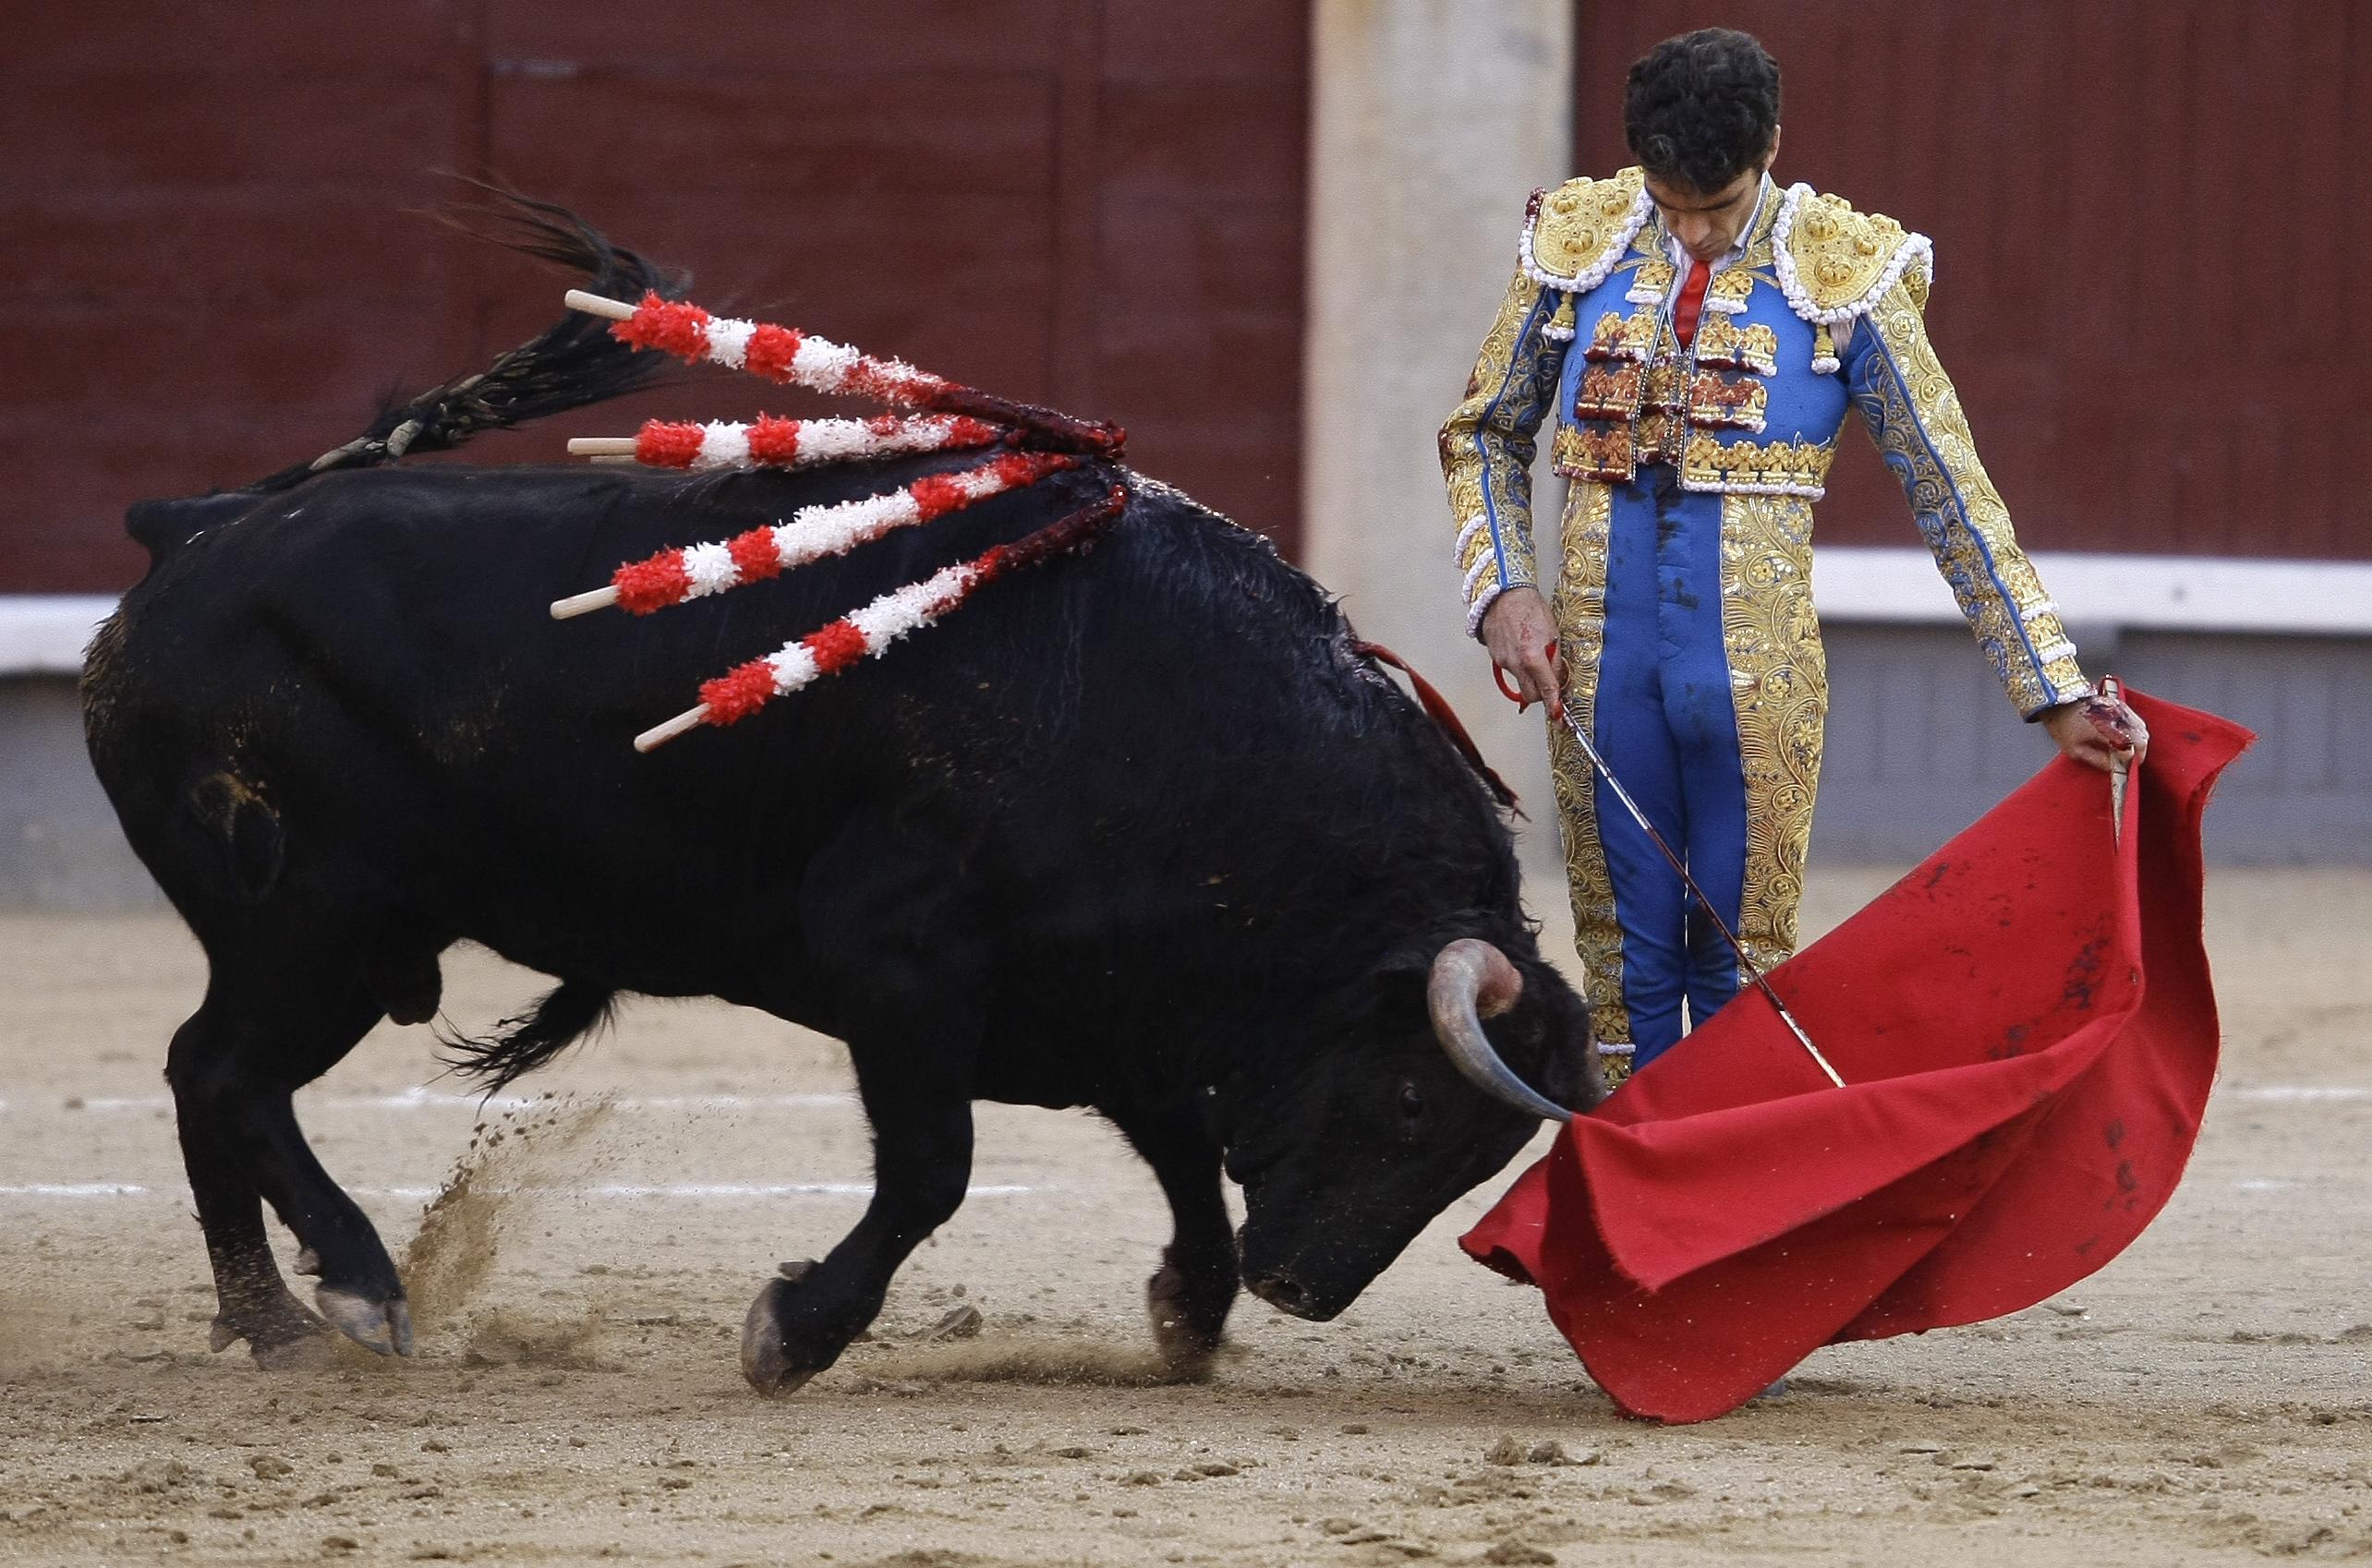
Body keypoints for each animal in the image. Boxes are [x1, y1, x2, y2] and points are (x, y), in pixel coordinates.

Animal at [83, 281, 1603, 1394]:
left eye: (1480, 1157)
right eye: (1412, 1104)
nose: (1305, 1286)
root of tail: (190, 532)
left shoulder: (1103, 999)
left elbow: (1175, 1146)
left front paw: (1190, 1307)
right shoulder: (902, 964)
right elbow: (935, 1167)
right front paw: (793, 1331)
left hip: (324, 942)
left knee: (205, 1077)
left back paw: (271, 1322)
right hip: (319, 925)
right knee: (225, 1073)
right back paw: (354, 1291)